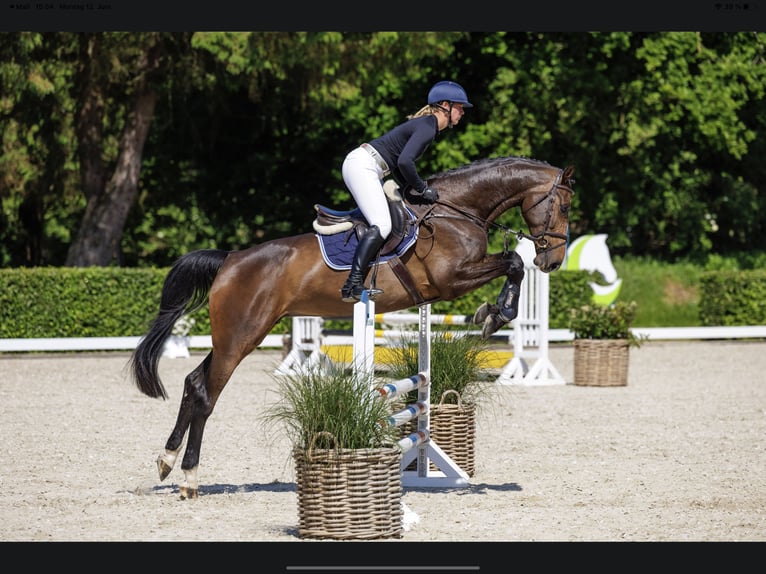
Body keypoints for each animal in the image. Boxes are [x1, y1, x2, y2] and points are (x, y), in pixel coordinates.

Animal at [129, 155, 575, 499]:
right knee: (206, 393)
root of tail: (230, 259)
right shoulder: (451, 279)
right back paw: (189, 479)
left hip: (234, 337)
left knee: (192, 382)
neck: (456, 210)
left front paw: (493, 312)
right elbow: (513, 263)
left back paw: (166, 461)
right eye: (566, 207)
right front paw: (496, 313)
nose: (552, 261)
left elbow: (513, 265)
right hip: (241, 337)